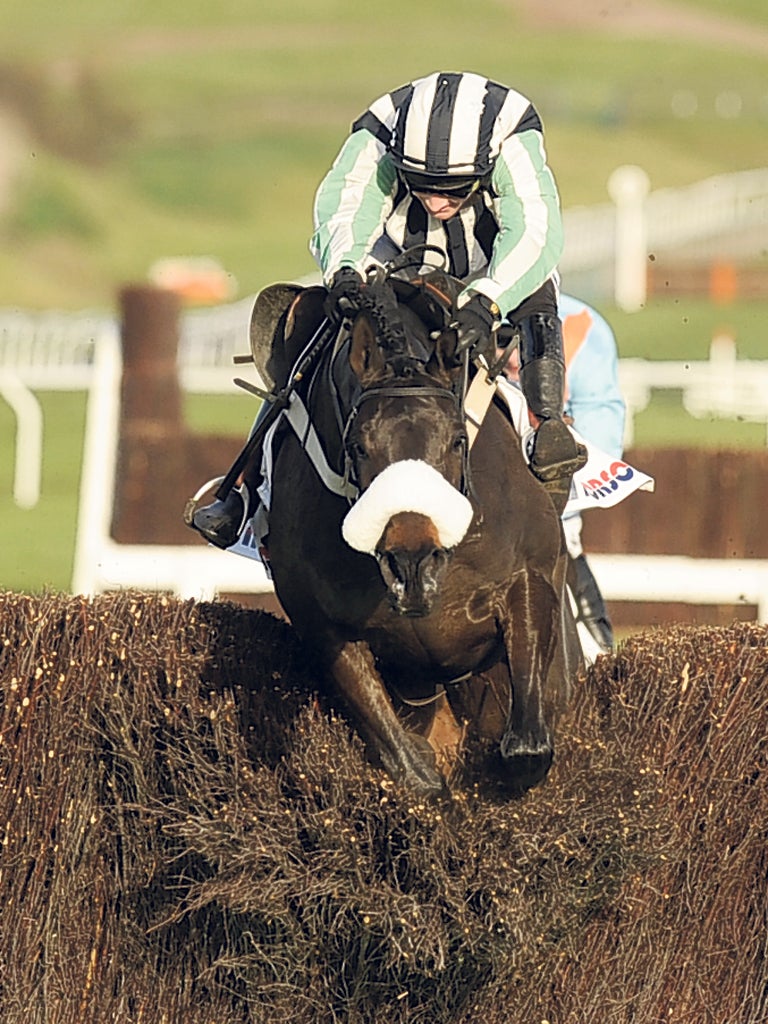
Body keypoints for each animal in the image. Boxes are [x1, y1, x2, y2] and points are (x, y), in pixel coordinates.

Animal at [262, 268, 581, 794]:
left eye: (456, 439)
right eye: (359, 446)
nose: (411, 563)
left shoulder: (529, 581)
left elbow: (526, 749)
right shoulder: (326, 629)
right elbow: (416, 774)